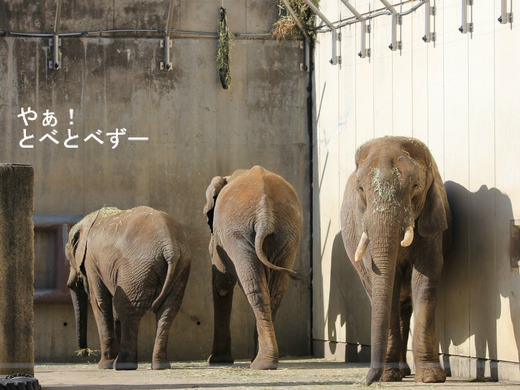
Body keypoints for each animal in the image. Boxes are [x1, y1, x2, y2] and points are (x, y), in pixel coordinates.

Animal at [65, 206, 191, 370]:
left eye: (69, 258)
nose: (84, 352)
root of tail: (169, 247)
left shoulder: (91, 261)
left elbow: (100, 302)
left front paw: (104, 365)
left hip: (136, 268)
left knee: (128, 309)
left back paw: (122, 365)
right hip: (181, 267)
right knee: (168, 310)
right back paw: (160, 366)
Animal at [202, 166, 302, 370]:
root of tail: (265, 214)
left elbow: (221, 284)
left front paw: (216, 361)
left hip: (238, 232)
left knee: (254, 288)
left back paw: (261, 363)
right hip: (288, 233)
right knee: (275, 291)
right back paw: (265, 361)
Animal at [342, 136, 450, 384]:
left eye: (416, 187)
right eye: (360, 188)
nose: (365, 381)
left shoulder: (431, 223)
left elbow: (426, 277)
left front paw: (431, 378)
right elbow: (384, 285)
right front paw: (387, 376)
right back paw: (399, 372)